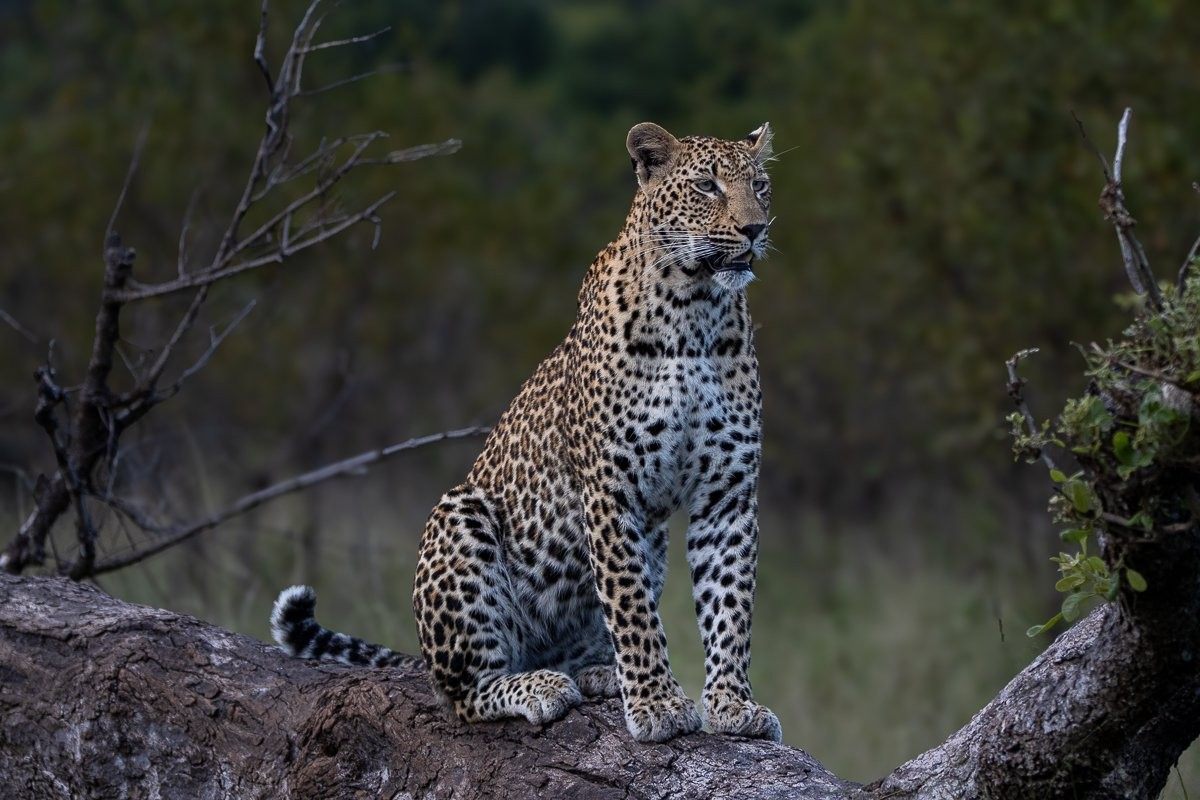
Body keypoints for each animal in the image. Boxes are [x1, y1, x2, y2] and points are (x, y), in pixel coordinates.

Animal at [271, 121, 781, 744]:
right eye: (707, 186)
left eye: (759, 186)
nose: (754, 228)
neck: (697, 312)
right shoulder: (610, 489)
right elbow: (633, 607)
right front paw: (658, 704)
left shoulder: (727, 493)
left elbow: (730, 606)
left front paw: (733, 705)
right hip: (459, 519)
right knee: (464, 695)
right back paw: (539, 686)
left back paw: (599, 673)